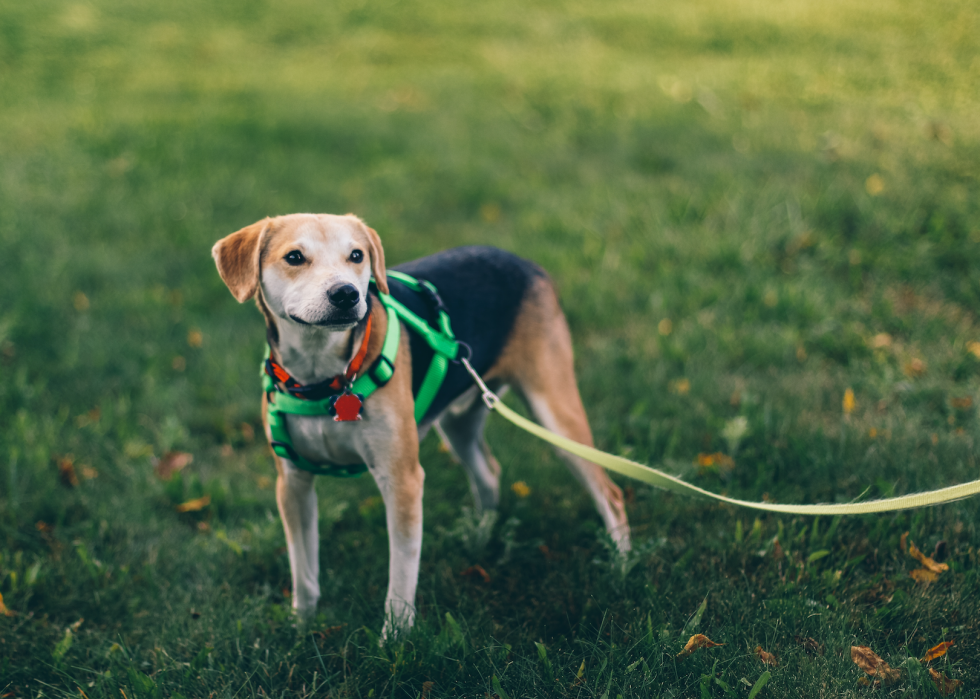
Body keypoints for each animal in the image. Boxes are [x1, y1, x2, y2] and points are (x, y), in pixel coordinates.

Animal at [211, 215, 632, 640]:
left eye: (357, 256)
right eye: (294, 257)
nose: (346, 294)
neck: (325, 378)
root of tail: (522, 262)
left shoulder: (402, 480)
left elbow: (401, 571)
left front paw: (395, 638)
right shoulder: (292, 483)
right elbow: (303, 570)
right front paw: (302, 626)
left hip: (555, 413)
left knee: (610, 493)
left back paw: (621, 566)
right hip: (459, 423)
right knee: (489, 472)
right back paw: (480, 536)